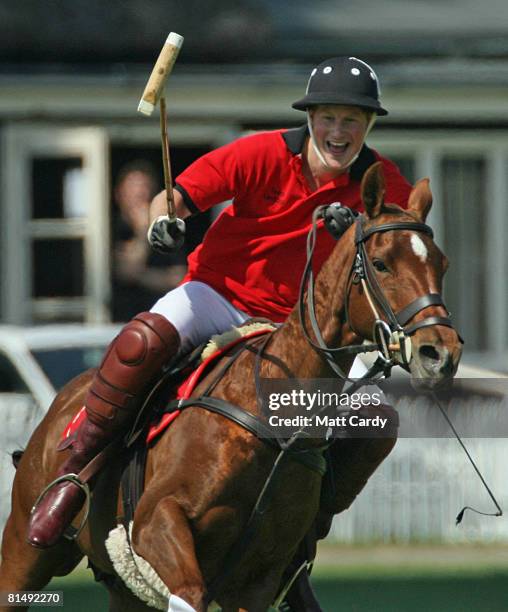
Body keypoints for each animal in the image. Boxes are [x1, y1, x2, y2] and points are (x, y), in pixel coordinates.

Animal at [0, 164, 460, 612]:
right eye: (381, 264)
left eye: (442, 264)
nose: (441, 353)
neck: (270, 416)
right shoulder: (154, 522)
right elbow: (188, 591)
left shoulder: (256, 578)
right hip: (24, 553)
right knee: (144, 338)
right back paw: (56, 500)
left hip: (125, 589)